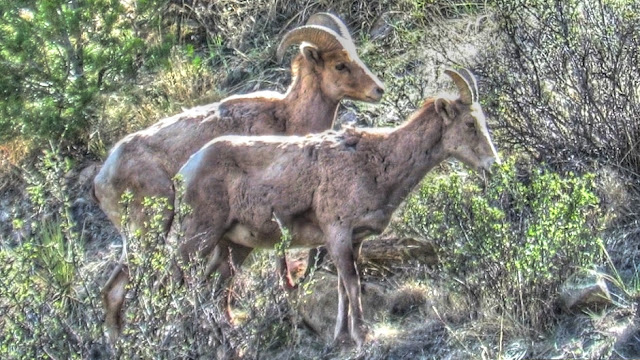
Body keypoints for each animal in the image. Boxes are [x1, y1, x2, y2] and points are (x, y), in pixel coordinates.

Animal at [95, 12, 384, 342]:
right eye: (339, 65)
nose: (378, 90)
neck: (287, 118)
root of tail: (101, 181)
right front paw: (288, 287)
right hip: (150, 231)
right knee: (122, 289)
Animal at [171, 69, 500, 348]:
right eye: (469, 124)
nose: (493, 165)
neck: (377, 163)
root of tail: (186, 171)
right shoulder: (338, 232)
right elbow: (352, 284)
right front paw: (362, 335)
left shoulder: (354, 240)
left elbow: (344, 287)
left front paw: (341, 336)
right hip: (198, 237)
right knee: (177, 282)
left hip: (235, 246)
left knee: (214, 290)